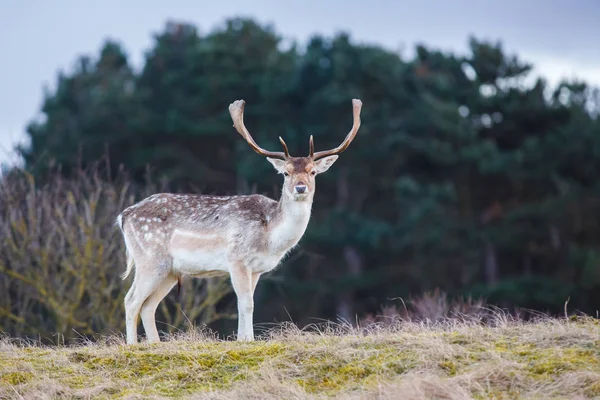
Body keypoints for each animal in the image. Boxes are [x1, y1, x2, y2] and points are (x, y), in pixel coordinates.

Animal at [115, 97, 364, 344]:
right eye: (286, 173)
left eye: (313, 172)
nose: (300, 188)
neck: (270, 237)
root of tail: (124, 215)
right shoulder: (236, 258)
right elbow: (246, 303)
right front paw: (248, 340)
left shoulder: (257, 269)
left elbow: (244, 303)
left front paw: (243, 339)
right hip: (150, 258)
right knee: (131, 300)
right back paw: (133, 345)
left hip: (169, 269)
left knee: (148, 306)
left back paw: (155, 344)